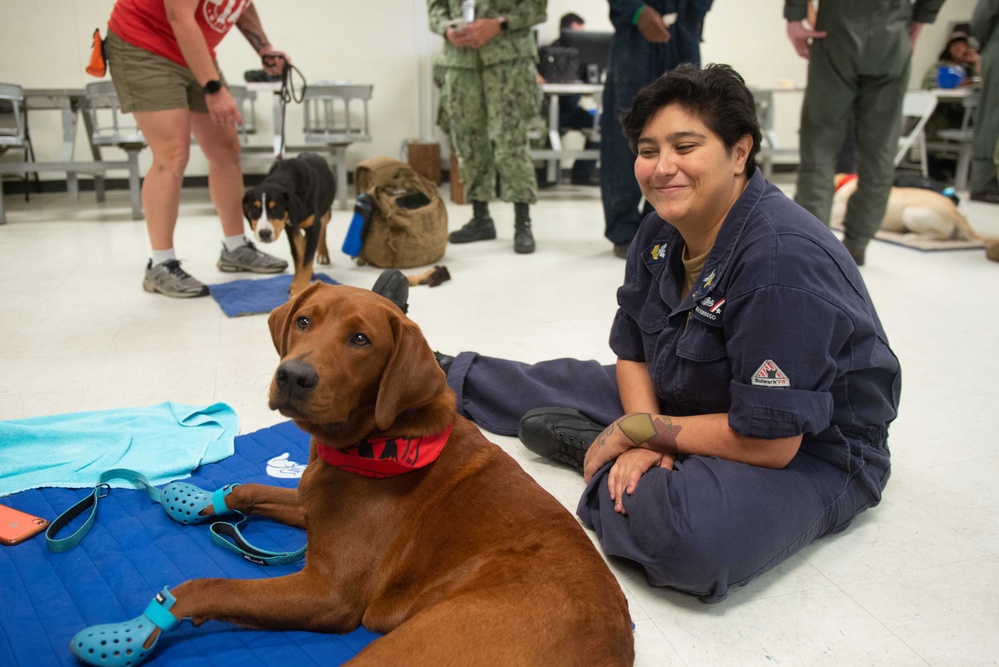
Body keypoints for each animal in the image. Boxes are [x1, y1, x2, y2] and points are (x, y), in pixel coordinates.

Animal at [74, 284, 632, 664]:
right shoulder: (310, 501)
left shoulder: (326, 593)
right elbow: (250, 487)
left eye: (360, 339)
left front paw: (138, 628)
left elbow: (205, 586)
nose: (293, 375)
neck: (374, 443)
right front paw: (197, 500)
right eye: (303, 321)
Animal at [244, 154, 338, 298]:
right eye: (254, 209)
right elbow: (298, 257)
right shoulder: (290, 228)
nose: (264, 233)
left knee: (323, 227)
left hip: (326, 213)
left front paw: (300, 289)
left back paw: (323, 253)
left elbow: (306, 261)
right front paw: (296, 284)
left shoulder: (313, 227)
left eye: (276, 209)